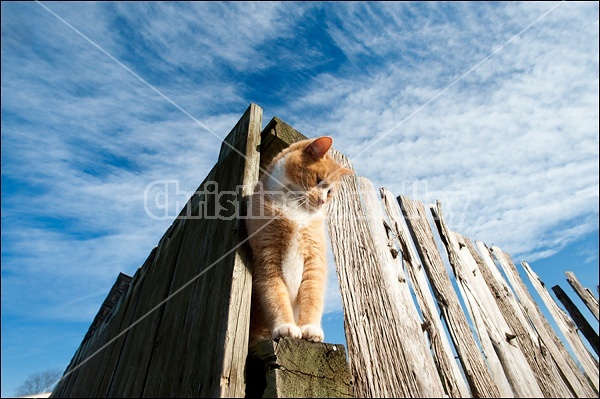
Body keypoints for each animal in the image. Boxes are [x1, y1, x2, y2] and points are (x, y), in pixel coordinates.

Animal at [246, 136, 354, 346]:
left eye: (330, 192)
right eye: (318, 180)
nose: (322, 201)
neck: (295, 208)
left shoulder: (314, 259)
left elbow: (311, 296)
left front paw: (309, 329)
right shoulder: (267, 256)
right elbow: (275, 296)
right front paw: (285, 326)